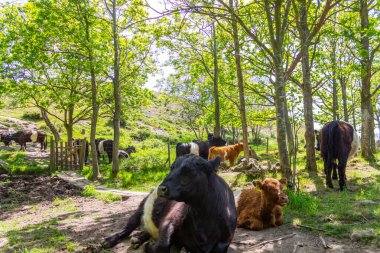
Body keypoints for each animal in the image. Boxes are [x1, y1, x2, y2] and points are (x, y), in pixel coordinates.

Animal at [102, 155, 236, 252]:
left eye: (189, 172)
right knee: (128, 227)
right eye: (171, 168)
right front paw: (148, 246)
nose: (161, 188)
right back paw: (109, 241)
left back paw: (138, 239)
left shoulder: (226, 238)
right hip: (140, 209)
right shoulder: (169, 220)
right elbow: (162, 245)